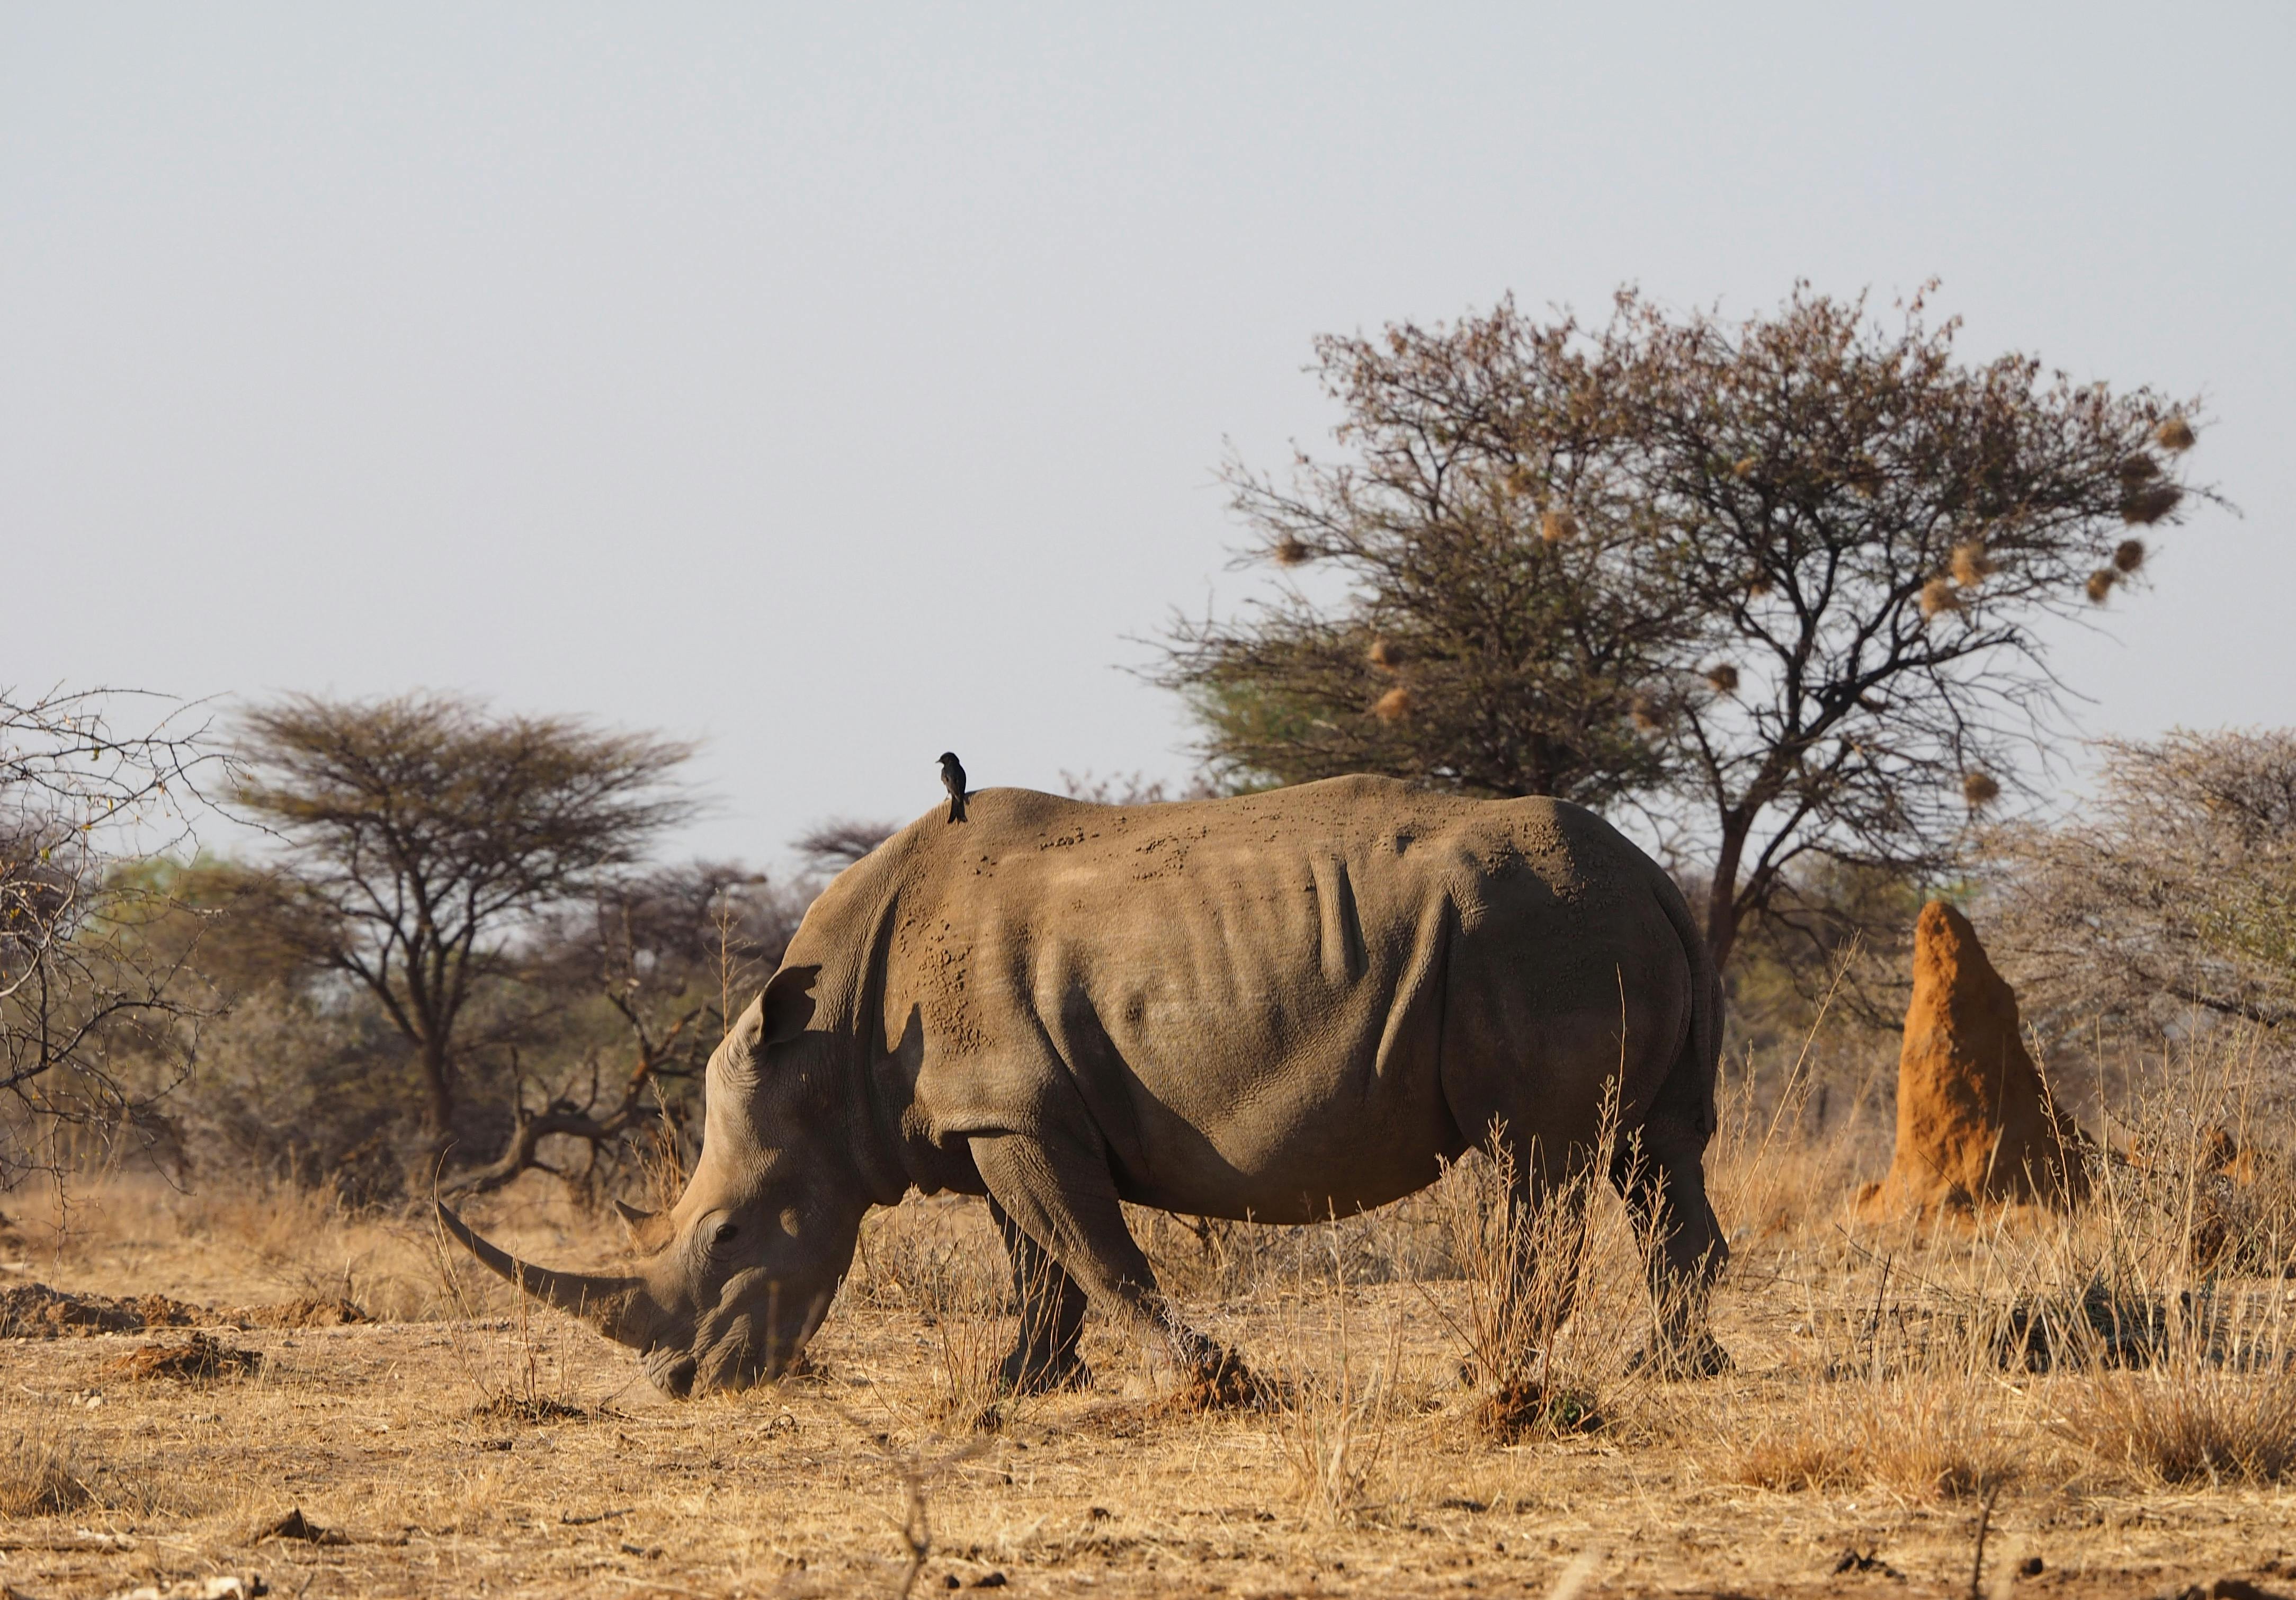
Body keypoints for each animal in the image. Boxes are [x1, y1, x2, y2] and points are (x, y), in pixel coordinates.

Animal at [439, 776, 1728, 1397]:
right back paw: (1670, 1369)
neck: (826, 1045)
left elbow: (1092, 1248)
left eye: (726, 1236)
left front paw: (1210, 1375)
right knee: (1653, 1150)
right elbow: (1040, 1257)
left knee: (1537, 1158)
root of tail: (1659, 875)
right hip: (1592, 922)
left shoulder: (1010, 1105)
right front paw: (1027, 1381)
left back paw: (1488, 1368)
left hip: (1535, 931)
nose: (676, 1383)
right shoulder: (996, 1112)